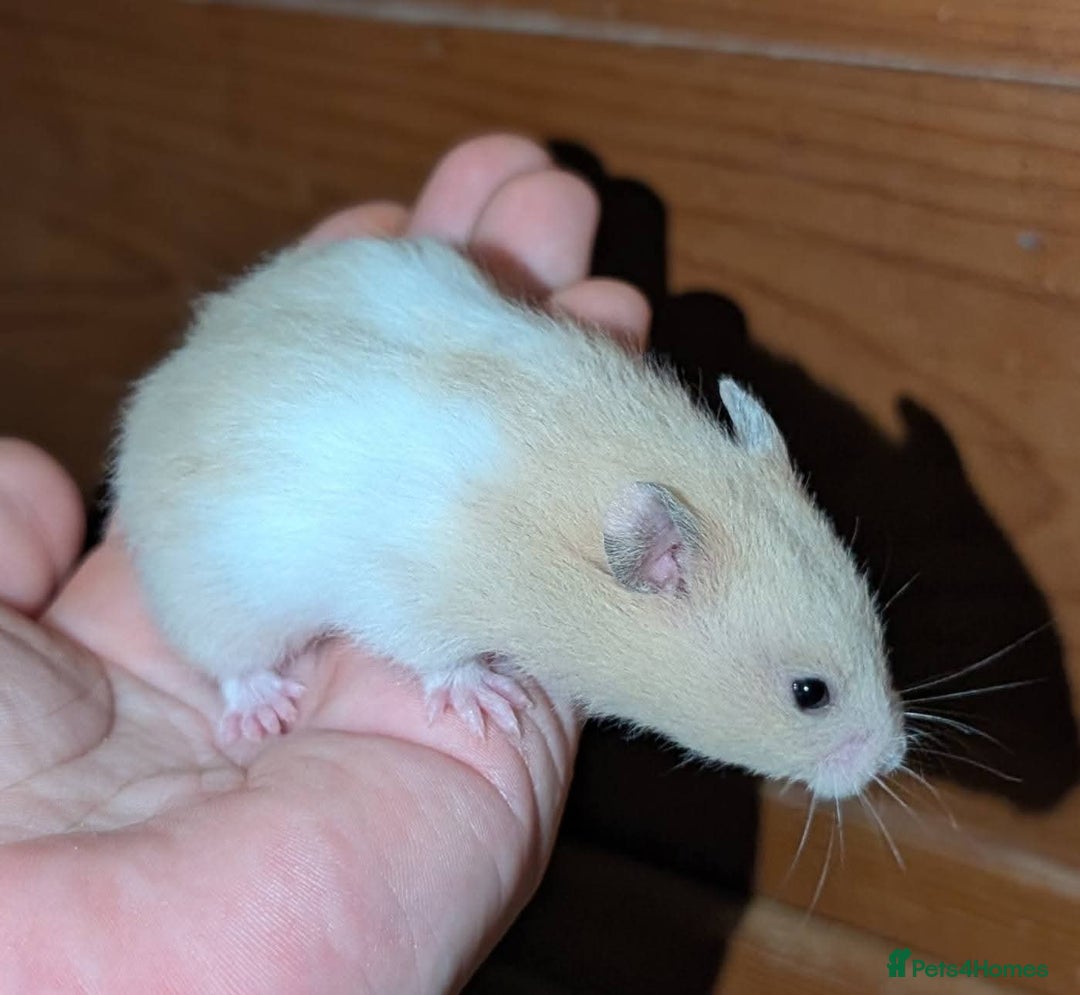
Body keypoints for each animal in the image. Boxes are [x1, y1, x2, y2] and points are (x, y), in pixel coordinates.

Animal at [111, 237, 906, 800]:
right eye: (811, 694)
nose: (894, 757)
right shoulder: (402, 596)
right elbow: (434, 654)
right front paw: (493, 700)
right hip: (216, 592)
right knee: (226, 660)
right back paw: (266, 705)